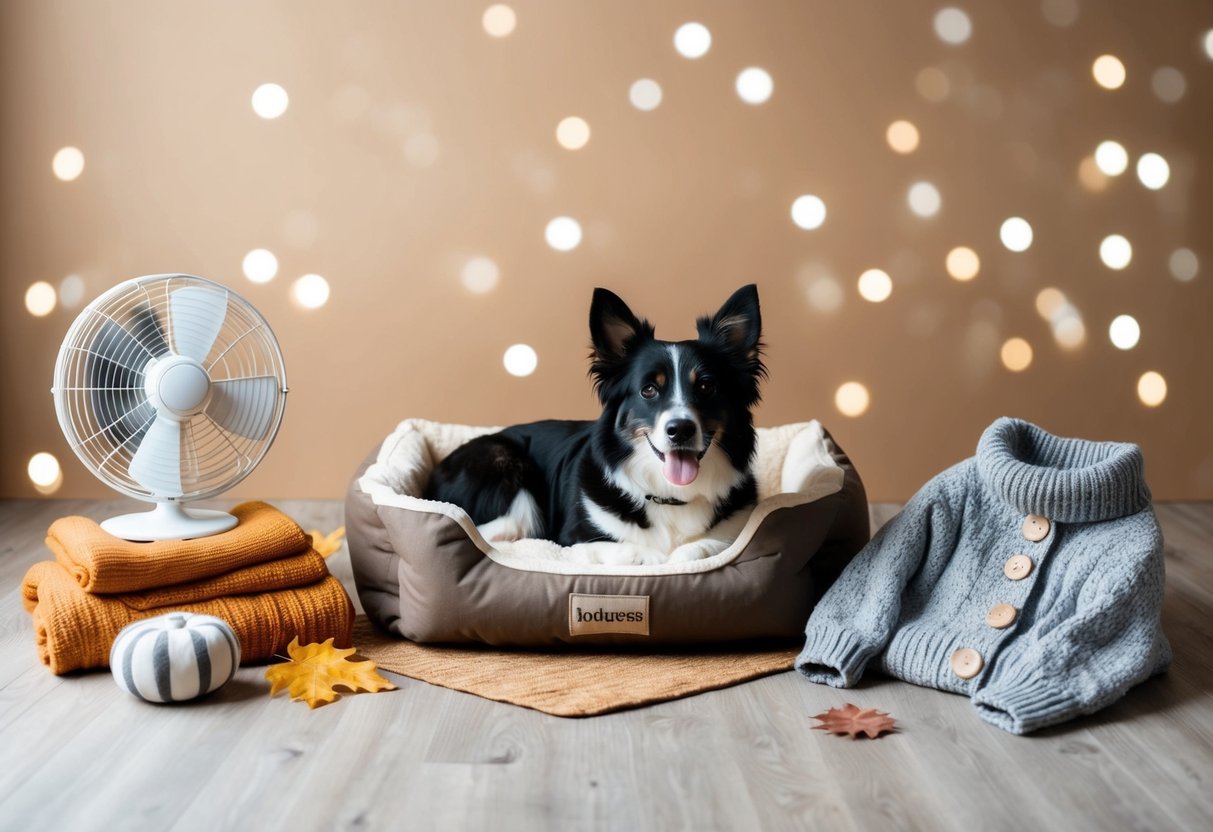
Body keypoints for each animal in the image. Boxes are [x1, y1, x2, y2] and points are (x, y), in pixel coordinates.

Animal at [426, 286, 761, 567]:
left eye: (706, 387)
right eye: (648, 390)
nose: (680, 430)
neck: (669, 494)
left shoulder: (735, 527)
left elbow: (707, 545)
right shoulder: (575, 538)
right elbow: (635, 551)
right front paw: (657, 558)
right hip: (507, 473)